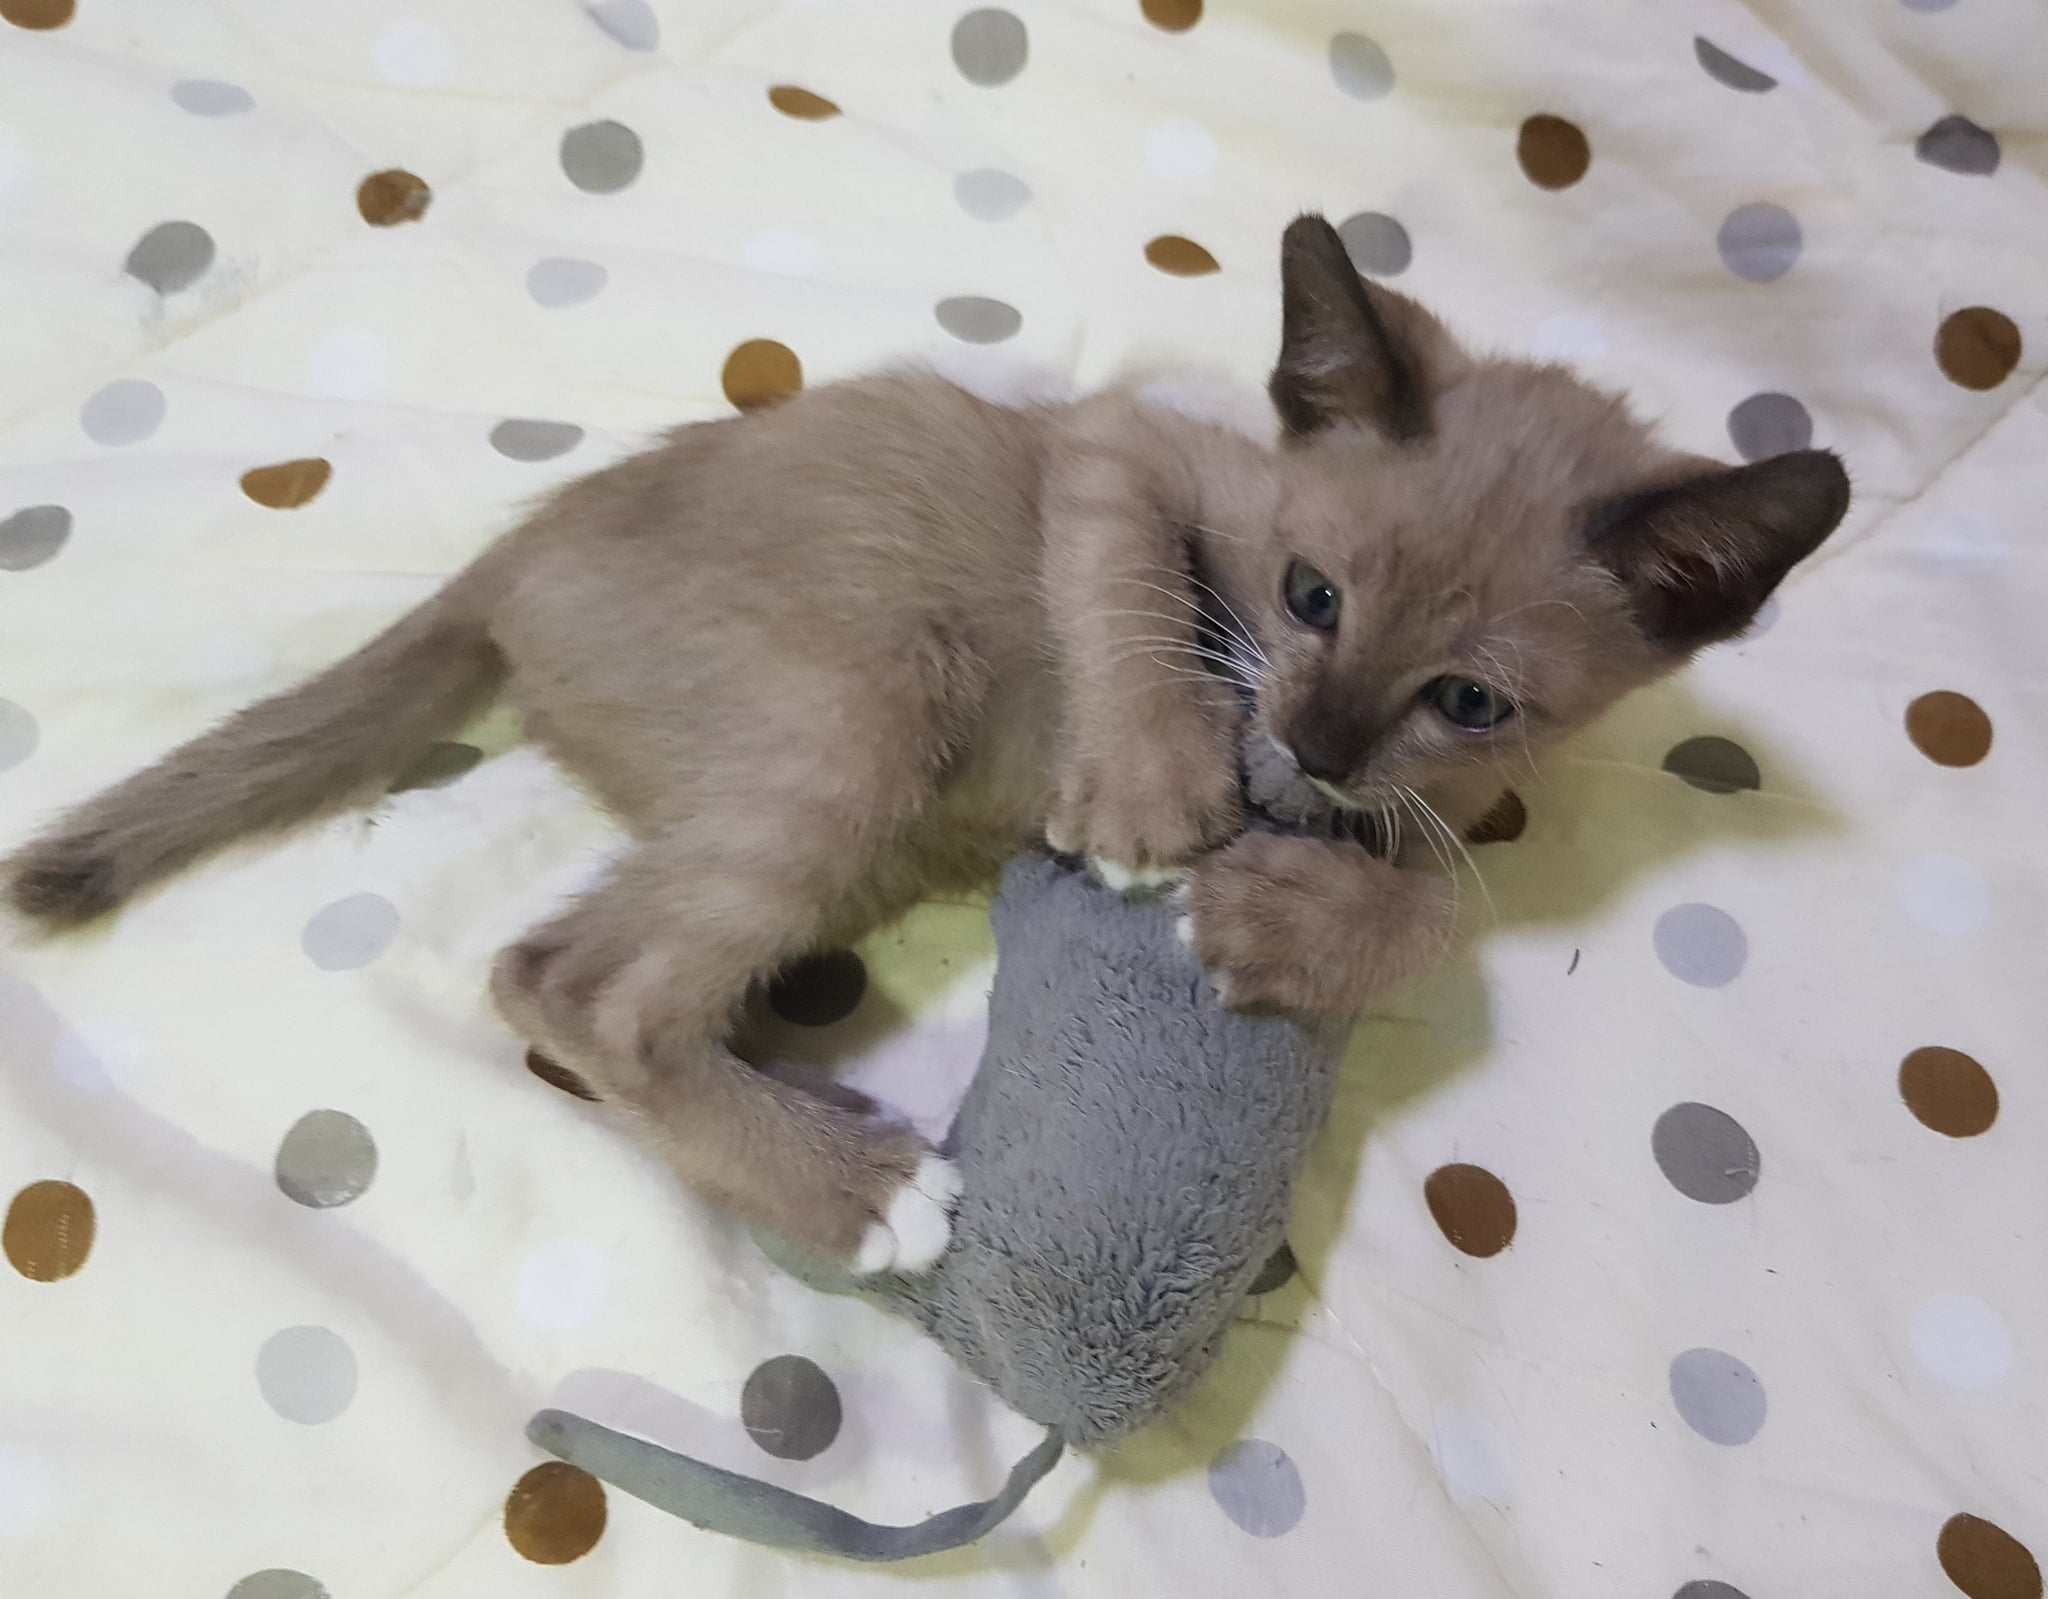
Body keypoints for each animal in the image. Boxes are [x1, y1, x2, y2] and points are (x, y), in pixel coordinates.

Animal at [2, 214, 1850, 1273]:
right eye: (1308, 590)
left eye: (1469, 698)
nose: (1314, 747)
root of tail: (517, 555)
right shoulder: (1123, 449)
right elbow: (1122, 576)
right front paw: (1150, 794)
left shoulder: (1427, 798)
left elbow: (1439, 900)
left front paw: (1285, 915)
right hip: (870, 702)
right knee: (573, 982)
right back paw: (859, 1191)